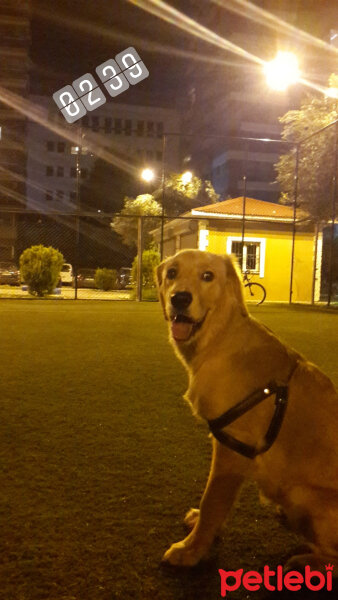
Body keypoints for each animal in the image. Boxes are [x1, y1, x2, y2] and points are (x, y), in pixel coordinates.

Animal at [156, 248, 338, 572]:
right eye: (172, 273)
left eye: (207, 276)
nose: (180, 298)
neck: (220, 339)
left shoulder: (232, 447)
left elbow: (212, 502)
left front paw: (190, 550)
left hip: (301, 494)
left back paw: (305, 561)